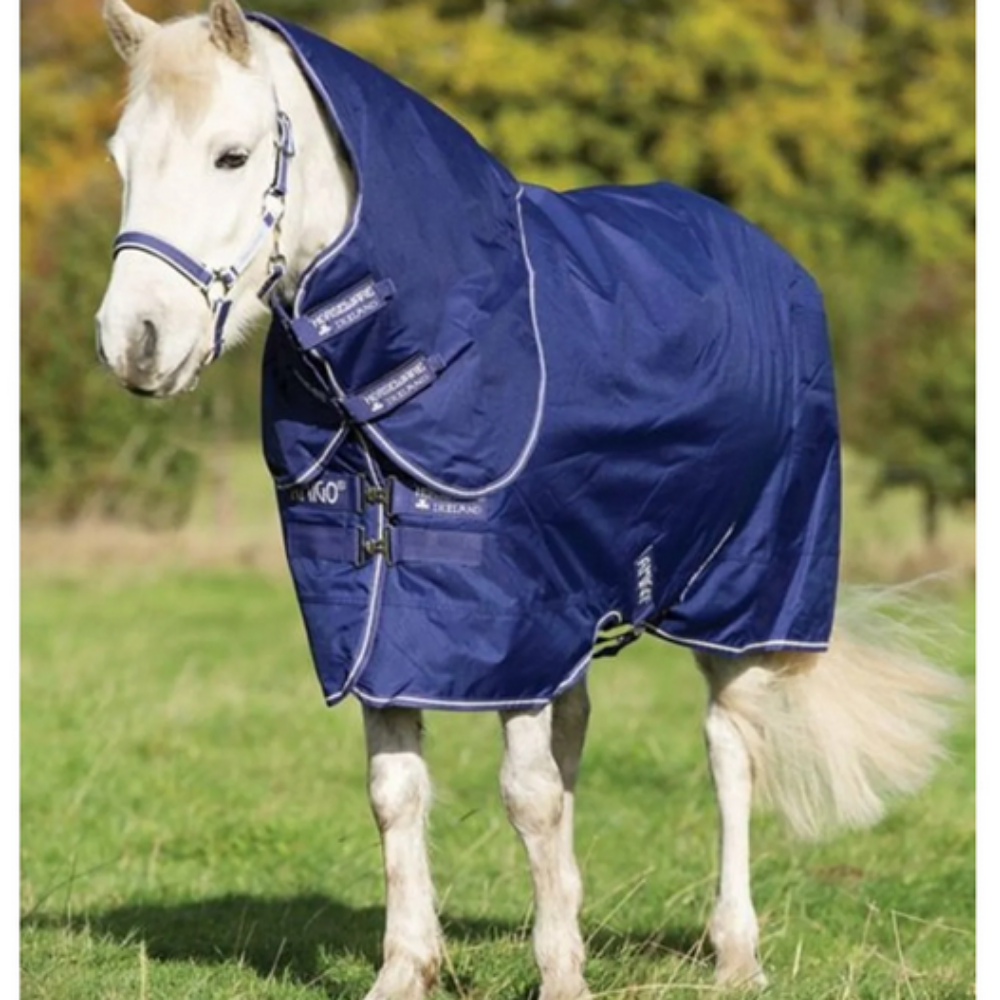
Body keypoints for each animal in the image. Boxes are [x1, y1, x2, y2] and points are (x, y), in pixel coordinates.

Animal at [96, 2, 960, 996]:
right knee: (582, 734)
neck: (407, 361)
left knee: (729, 751)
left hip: (742, 598)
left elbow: (528, 795)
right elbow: (399, 793)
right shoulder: (385, 628)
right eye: (121, 158)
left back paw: (736, 952)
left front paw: (560, 976)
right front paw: (411, 967)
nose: (134, 343)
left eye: (232, 157)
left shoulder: (512, 629)